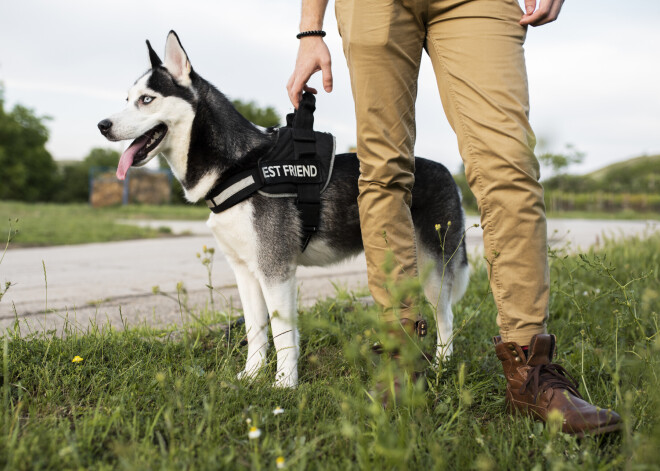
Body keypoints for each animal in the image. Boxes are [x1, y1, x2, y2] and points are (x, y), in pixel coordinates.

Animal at [98, 31, 470, 390]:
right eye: (127, 99)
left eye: (147, 99)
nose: (102, 125)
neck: (238, 166)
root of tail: (446, 171)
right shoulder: (247, 272)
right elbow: (256, 332)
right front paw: (252, 375)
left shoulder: (275, 270)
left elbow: (283, 335)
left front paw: (285, 384)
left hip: (434, 270)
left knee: (446, 318)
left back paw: (442, 366)